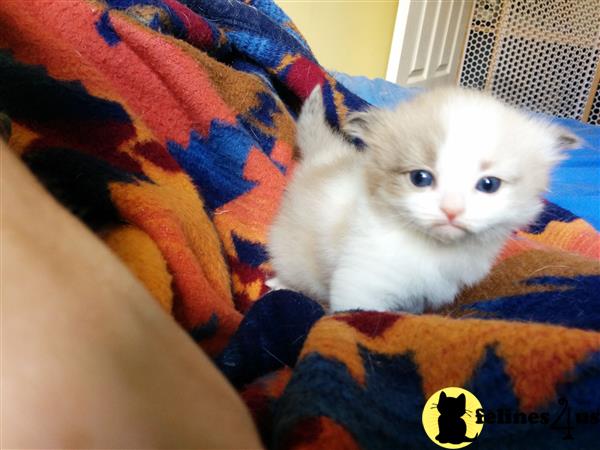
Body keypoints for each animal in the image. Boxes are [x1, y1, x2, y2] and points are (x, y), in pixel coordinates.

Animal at [268, 86, 576, 312]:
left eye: (489, 184)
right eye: (420, 178)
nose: (451, 210)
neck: (435, 249)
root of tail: (325, 157)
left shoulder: (423, 294)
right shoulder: (362, 282)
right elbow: (358, 315)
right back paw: (280, 282)